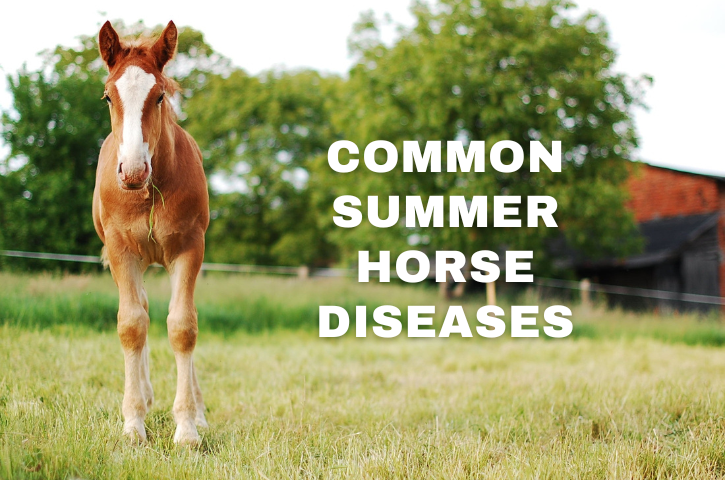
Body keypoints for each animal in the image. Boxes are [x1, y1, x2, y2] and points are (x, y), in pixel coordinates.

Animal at [93, 20, 210, 445]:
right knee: (139, 310)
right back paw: (142, 395)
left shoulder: (190, 248)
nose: (132, 170)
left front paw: (188, 428)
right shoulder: (121, 251)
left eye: (159, 96)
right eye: (107, 97)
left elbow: (183, 326)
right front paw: (133, 425)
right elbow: (131, 325)